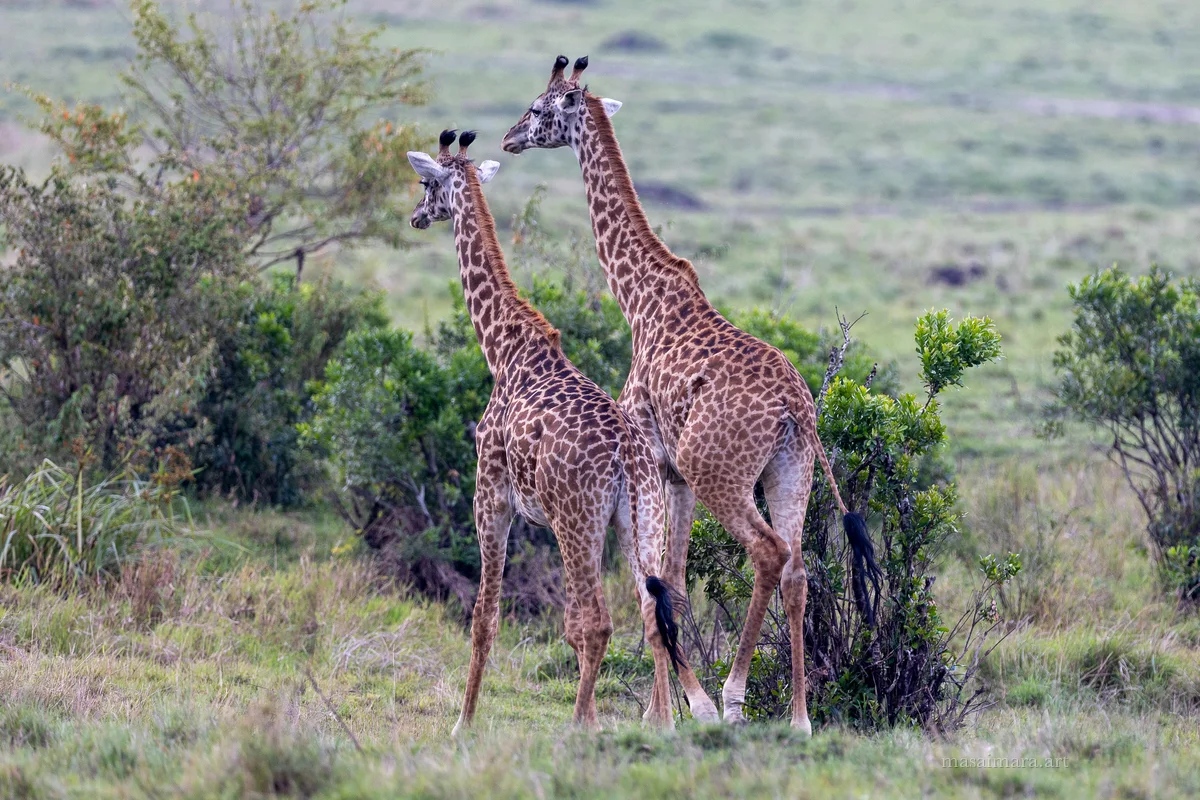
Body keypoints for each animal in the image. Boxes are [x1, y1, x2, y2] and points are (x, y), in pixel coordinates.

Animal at [407, 129, 720, 733]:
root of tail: (627, 459)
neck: (503, 349)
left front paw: (463, 724)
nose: (415, 216)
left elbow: (485, 618)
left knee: (598, 621)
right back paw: (662, 722)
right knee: (652, 611)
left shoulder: (491, 496)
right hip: (638, 518)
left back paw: (582, 728)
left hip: (578, 521)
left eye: (427, 183)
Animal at [501, 57, 882, 733]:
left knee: (768, 552)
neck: (638, 299)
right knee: (799, 568)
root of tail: (797, 409)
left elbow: (662, 587)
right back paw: (799, 718)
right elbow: (673, 584)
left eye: (542, 108)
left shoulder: (660, 461)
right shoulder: (671, 475)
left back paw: (732, 697)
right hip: (793, 469)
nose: (508, 136)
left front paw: (670, 714)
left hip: (720, 473)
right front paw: (666, 712)